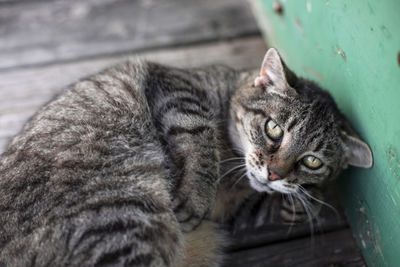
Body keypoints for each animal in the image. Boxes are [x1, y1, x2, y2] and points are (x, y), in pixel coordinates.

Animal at [0, 47, 372, 266]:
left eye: (312, 161)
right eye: (274, 129)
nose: (274, 174)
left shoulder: (237, 211)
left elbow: (279, 207)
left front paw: (306, 198)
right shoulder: (178, 87)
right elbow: (199, 135)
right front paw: (195, 199)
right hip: (119, 219)